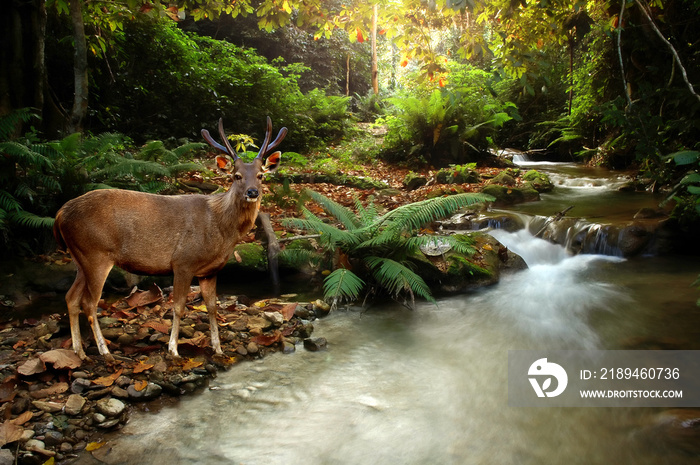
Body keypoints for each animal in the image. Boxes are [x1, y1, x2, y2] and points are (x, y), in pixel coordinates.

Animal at [51, 116, 288, 358]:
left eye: (260, 175)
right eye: (236, 176)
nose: (252, 192)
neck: (221, 229)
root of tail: (59, 215)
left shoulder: (209, 271)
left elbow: (212, 307)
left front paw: (218, 348)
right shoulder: (183, 261)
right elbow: (179, 306)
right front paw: (173, 349)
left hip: (80, 257)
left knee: (71, 297)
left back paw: (79, 351)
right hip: (96, 253)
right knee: (89, 302)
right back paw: (104, 350)